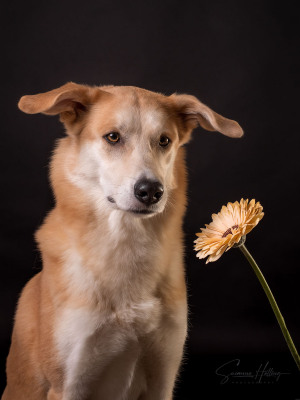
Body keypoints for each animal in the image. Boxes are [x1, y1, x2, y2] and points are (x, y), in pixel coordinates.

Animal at [1, 82, 243, 400]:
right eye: (113, 137)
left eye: (164, 140)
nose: (151, 191)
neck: (127, 244)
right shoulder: (68, 384)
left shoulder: (162, 378)